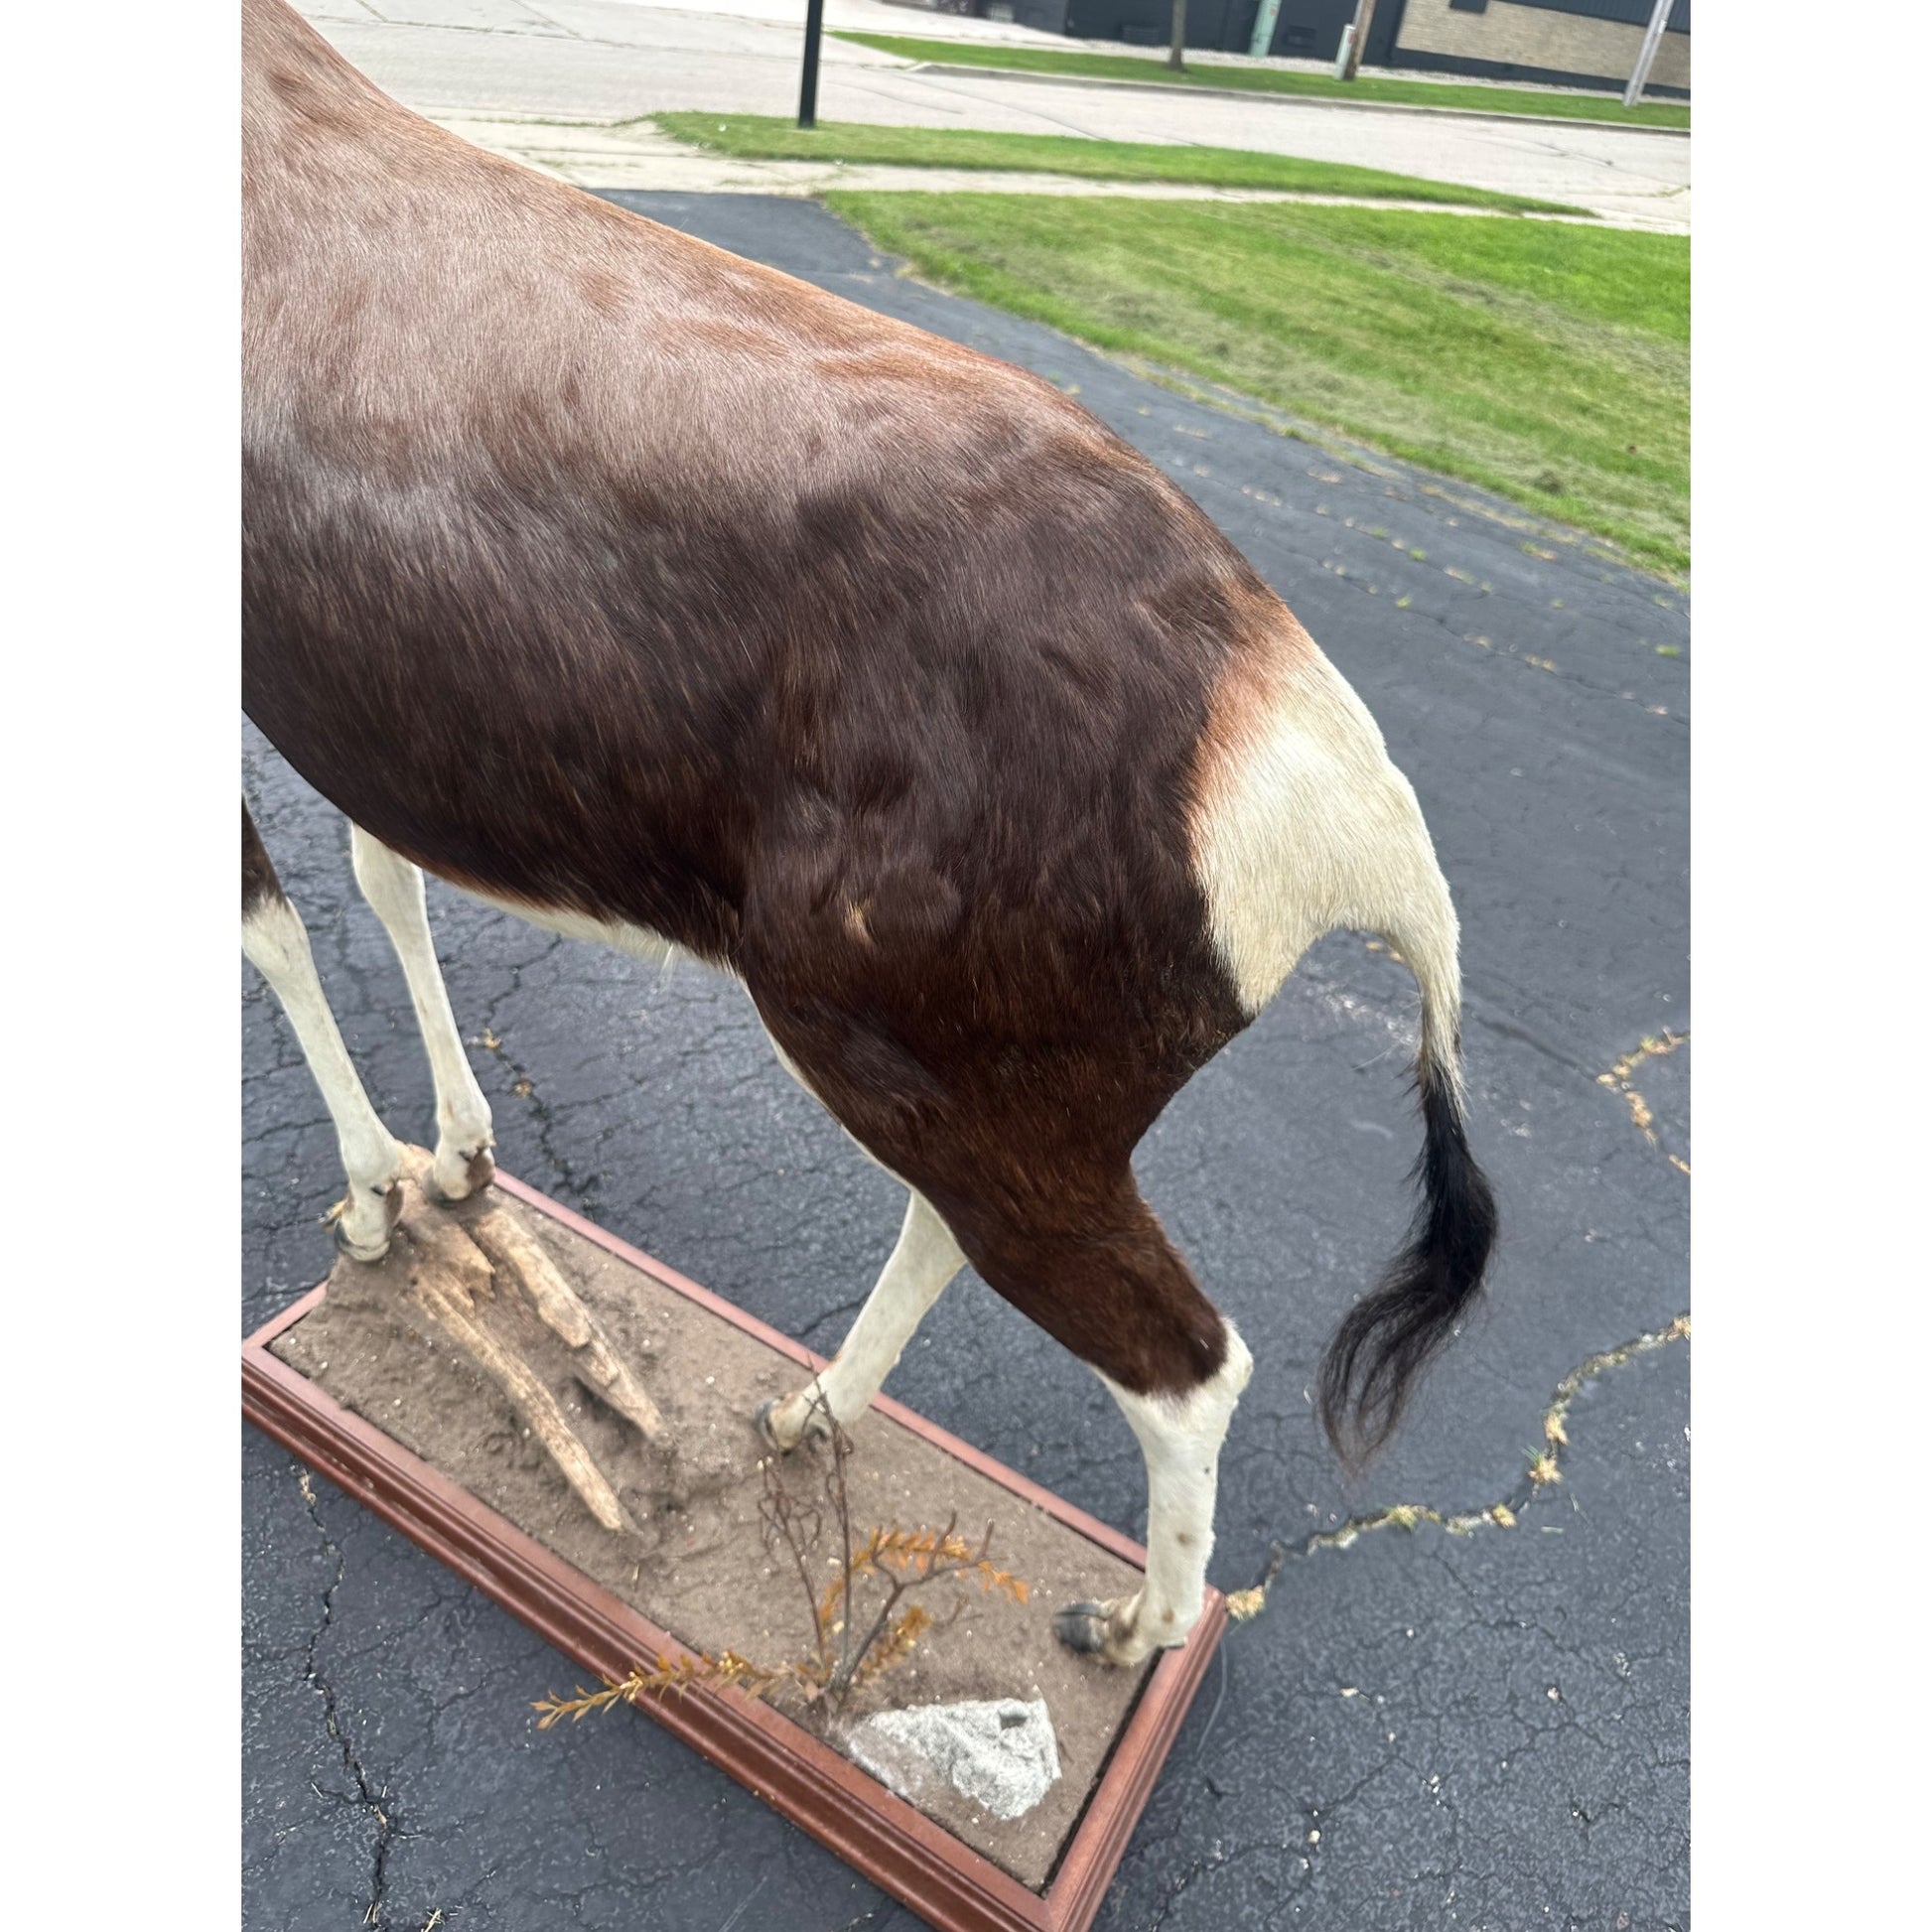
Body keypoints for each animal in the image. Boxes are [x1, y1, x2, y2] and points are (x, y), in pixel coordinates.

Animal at [241, 0, 1497, 1666]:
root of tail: (1331, 787)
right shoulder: (373, 726)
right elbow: (383, 877)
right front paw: (450, 1161)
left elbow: (266, 915)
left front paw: (377, 1201)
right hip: (979, 1102)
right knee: (955, 1235)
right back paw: (803, 1417)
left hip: (937, 1085)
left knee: (1185, 1361)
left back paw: (1128, 1628)